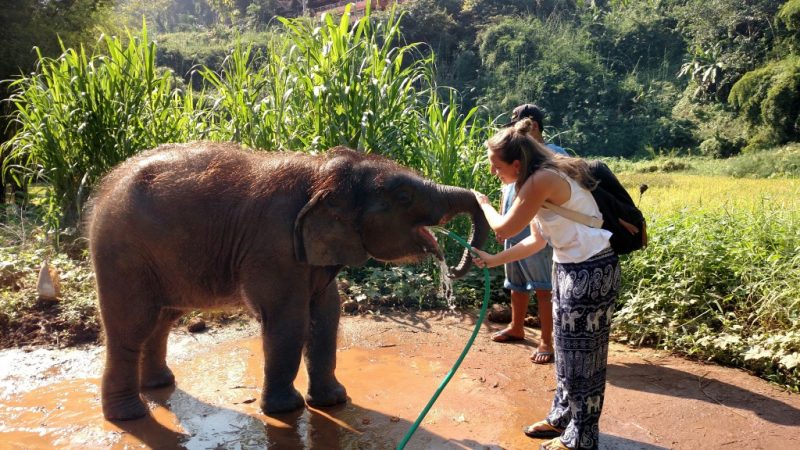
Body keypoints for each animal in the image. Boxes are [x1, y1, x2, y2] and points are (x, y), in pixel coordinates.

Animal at [87, 142, 488, 420]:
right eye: (404, 197)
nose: (453, 270)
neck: (320, 174)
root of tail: (104, 188)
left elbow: (327, 315)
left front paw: (335, 401)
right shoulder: (274, 245)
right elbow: (289, 320)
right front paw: (286, 411)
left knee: (162, 319)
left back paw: (160, 385)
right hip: (121, 253)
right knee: (132, 326)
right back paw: (129, 415)